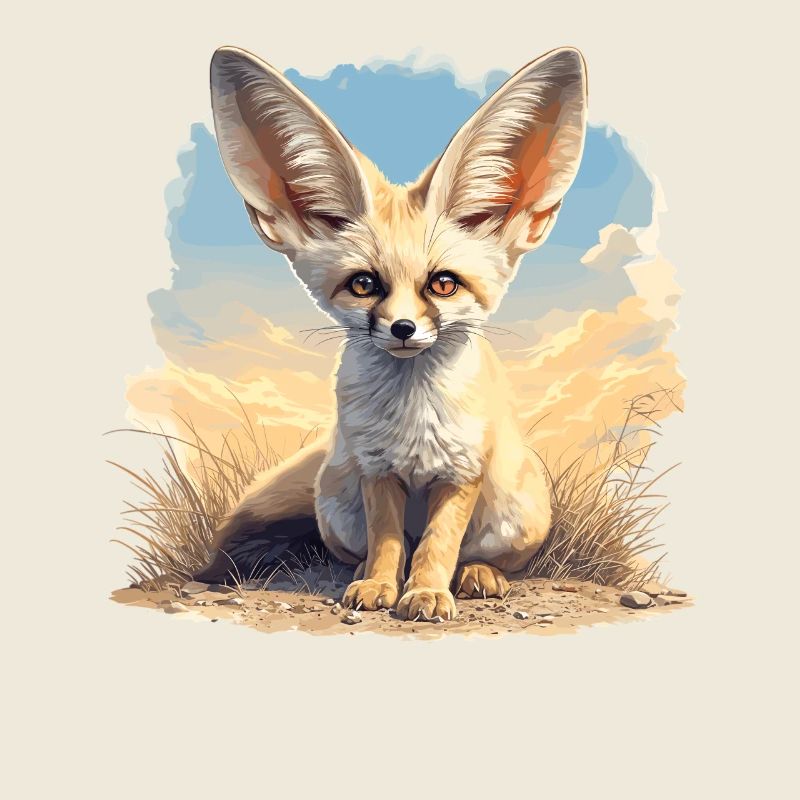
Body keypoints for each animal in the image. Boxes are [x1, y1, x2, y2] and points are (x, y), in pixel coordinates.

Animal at [195, 45, 588, 622]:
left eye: (443, 283)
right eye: (364, 284)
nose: (403, 328)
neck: (413, 418)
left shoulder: (461, 471)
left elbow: (439, 544)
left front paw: (426, 592)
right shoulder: (376, 470)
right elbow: (388, 541)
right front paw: (380, 585)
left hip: (517, 512)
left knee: (482, 555)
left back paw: (479, 574)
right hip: (335, 501)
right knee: (370, 545)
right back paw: (364, 571)